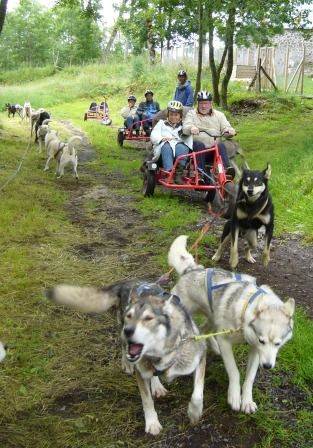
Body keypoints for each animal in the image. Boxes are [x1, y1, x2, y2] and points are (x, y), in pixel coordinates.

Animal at [45, 280, 206, 434]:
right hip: (120, 330)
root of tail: (127, 282)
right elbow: (147, 401)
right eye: (129, 316)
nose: (127, 330)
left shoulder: (200, 357)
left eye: (148, 318)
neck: (160, 356)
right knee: (123, 347)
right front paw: (152, 423)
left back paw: (157, 385)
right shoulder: (140, 373)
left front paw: (194, 412)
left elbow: (197, 394)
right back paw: (128, 364)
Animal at [167, 236, 294, 414]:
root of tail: (191, 269)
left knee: (205, 330)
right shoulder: (228, 343)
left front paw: (247, 400)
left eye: (278, 343)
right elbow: (234, 372)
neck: (244, 312)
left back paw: (213, 346)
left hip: (213, 318)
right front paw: (234, 396)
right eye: (262, 340)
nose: (268, 366)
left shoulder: (256, 351)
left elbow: (249, 378)